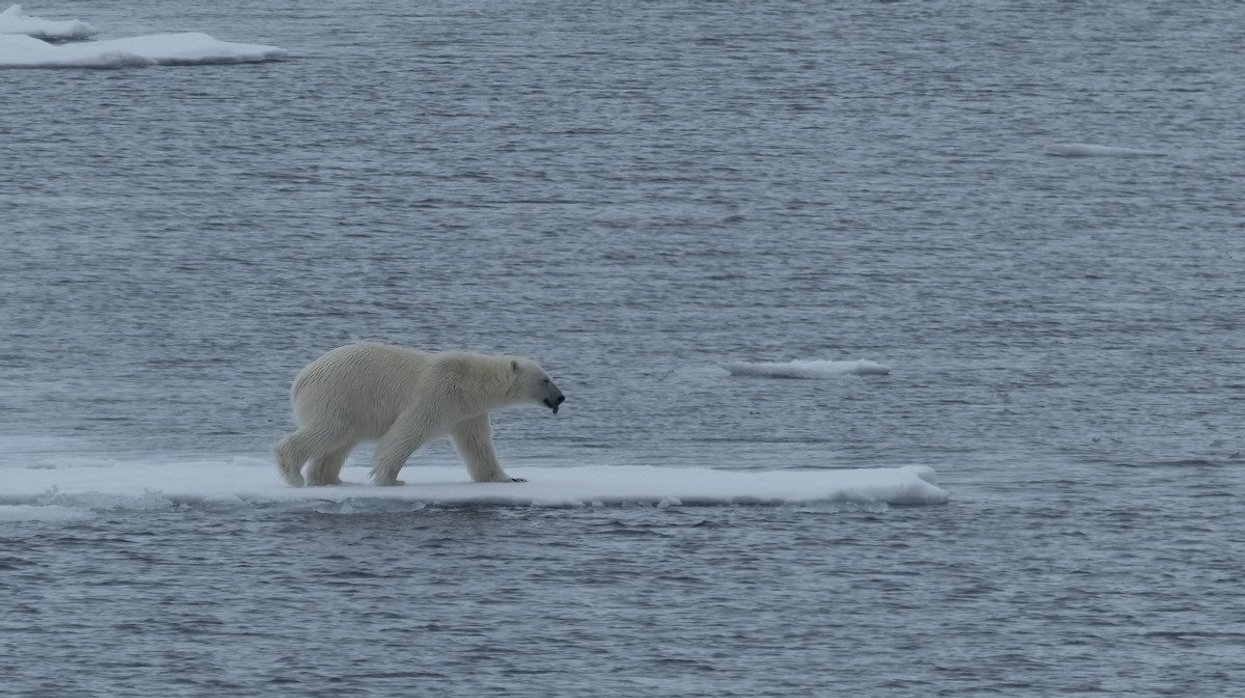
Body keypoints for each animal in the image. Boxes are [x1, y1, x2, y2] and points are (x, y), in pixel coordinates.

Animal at [274, 342, 565, 487]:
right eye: (546, 379)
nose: (561, 397)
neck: (471, 383)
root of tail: (300, 380)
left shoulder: (468, 413)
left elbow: (478, 446)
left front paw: (510, 478)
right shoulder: (440, 392)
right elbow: (408, 431)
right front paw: (391, 479)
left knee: (339, 444)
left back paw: (330, 479)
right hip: (340, 395)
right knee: (331, 430)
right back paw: (294, 474)